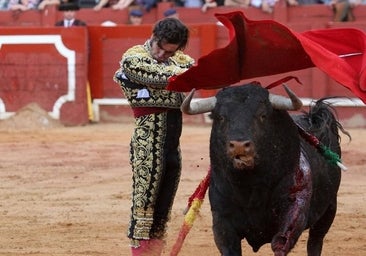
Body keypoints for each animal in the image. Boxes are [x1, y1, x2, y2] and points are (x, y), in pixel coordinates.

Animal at [182, 84, 350, 256]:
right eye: (221, 117)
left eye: (262, 115)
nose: (239, 146)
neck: (250, 186)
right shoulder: (222, 222)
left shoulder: (294, 214)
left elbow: (280, 243)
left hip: (329, 208)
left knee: (315, 241)